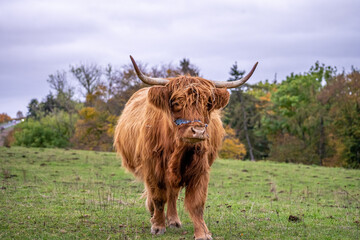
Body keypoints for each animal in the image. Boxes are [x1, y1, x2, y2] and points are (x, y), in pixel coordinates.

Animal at [114, 55, 258, 238]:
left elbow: (196, 203)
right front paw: (158, 226)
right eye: (176, 102)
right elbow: (158, 197)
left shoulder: (200, 169)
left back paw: (174, 220)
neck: (178, 150)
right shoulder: (152, 167)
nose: (198, 131)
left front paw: (202, 233)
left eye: (208, 103)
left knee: (173, 194)